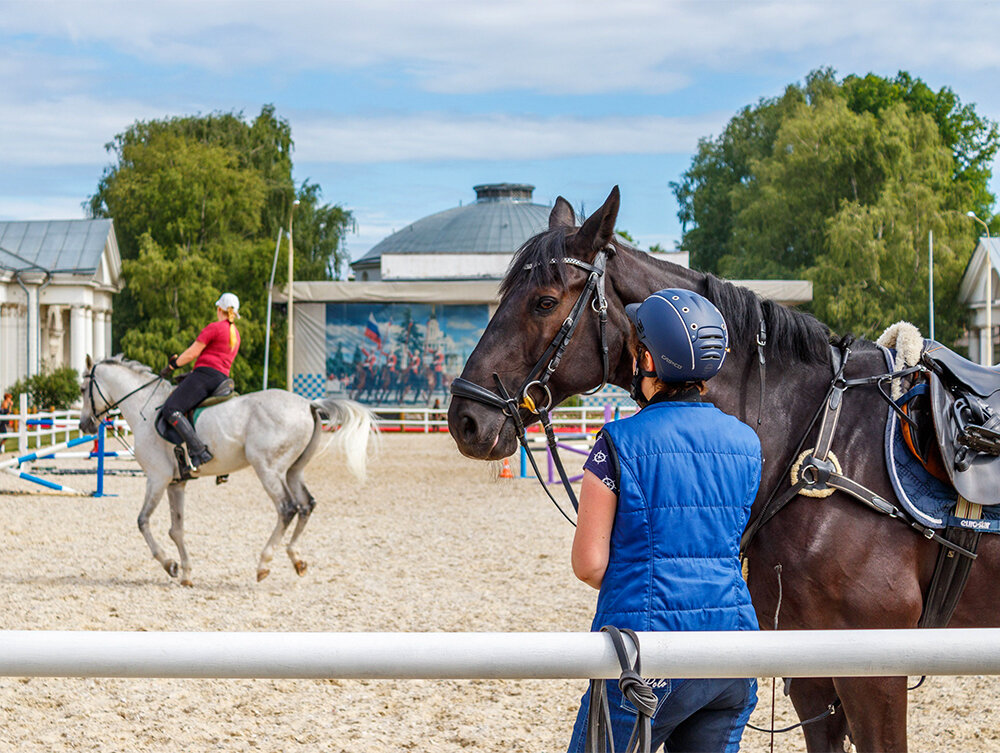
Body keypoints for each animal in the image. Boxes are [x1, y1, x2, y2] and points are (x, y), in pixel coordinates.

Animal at [80, 356, 376, 584]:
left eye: (84, 388)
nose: (85, 425)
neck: (143, 407)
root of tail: (308, 404)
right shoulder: (176, 483)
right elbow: (177, 529)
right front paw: (186, 573)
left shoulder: (157, 478)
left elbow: (143, 521)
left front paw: (169, 565)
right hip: (293, 471)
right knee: (307, 505)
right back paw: (296, 558)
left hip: (267, 469)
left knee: (287, 508)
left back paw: (264, 564)